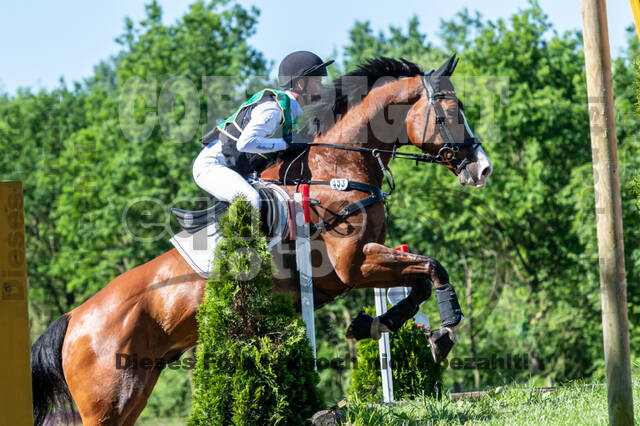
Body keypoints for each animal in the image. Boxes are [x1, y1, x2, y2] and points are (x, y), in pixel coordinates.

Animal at [30, 54, 492, 425]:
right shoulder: (352, 266)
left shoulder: (367, 261)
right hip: (109, 398)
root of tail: (73, 320)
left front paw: (375, 324)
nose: (482, 169)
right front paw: (445, 330)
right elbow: (432, 268)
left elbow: (419, 280)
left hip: (137, 386)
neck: (337, 169)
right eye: (452, 111)